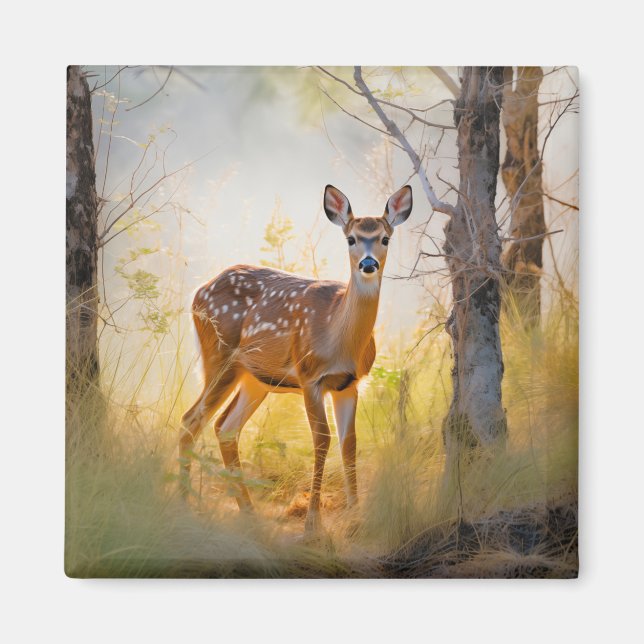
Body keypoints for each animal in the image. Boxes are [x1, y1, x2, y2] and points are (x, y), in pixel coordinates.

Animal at [179, 184, 413, 532]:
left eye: (385, 238)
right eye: (351, 238)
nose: (368, 264)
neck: (338, 337)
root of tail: (198, 292)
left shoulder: (350, 383)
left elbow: (349, 443)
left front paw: (356, 517)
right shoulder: (309, 376)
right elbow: (322, 440)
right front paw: (313, 523)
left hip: (255, 378)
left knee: (225, 427)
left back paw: (248, 512)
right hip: (219, 357)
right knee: (190, 421)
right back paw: (182, 503)